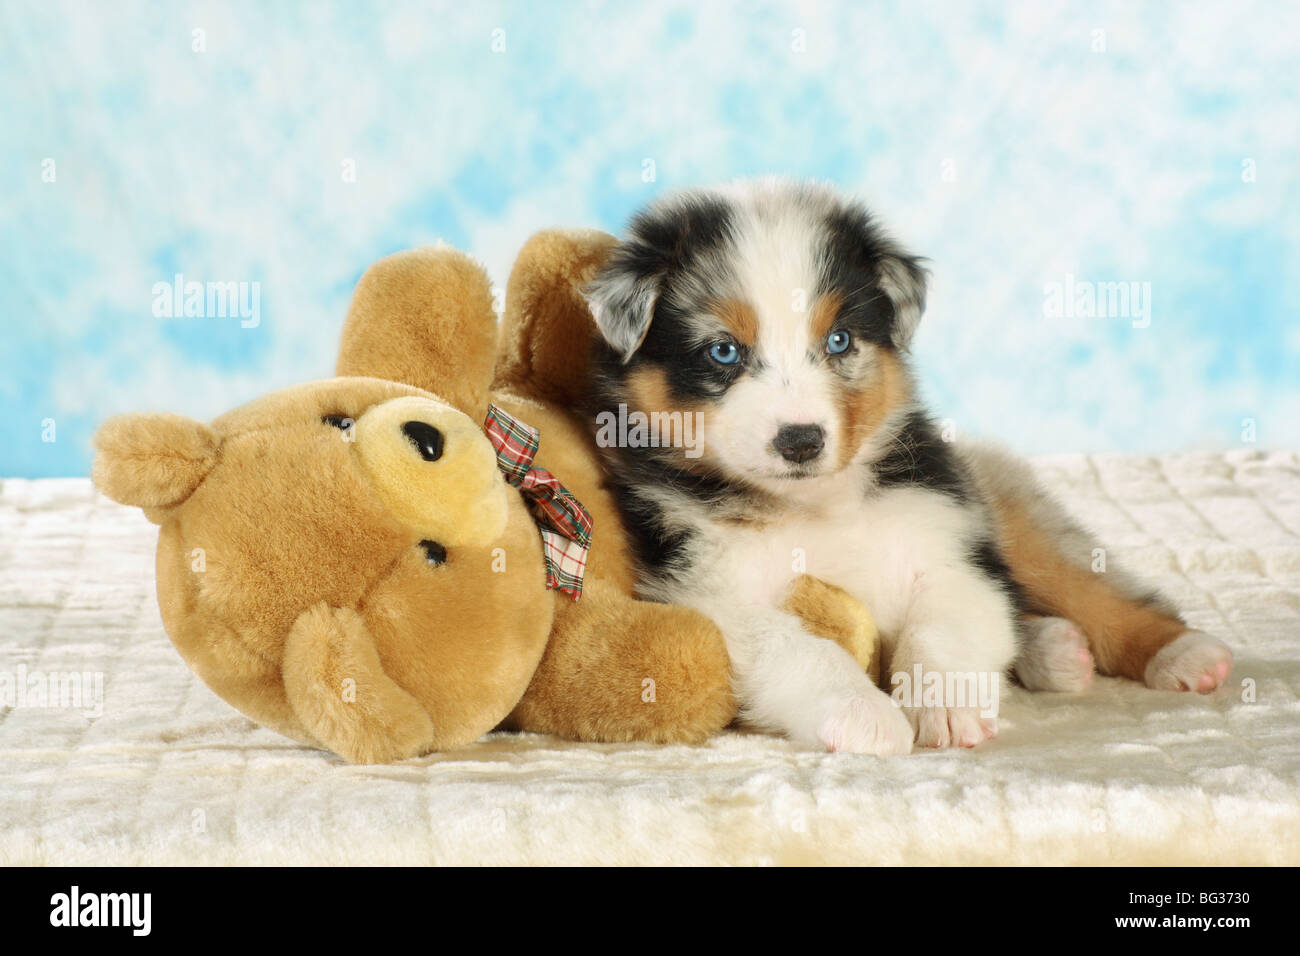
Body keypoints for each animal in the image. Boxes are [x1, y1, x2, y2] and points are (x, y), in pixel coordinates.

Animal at [585, 179, 1232, 754]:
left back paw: (1184, 654)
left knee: (1095, 592)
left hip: (1016, 517)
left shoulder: (945, 543)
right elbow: (796, 647)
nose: (801, 441)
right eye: (723, 351)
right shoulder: (706, 594)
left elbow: (940, 627)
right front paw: (863, 714)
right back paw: (1056, 651)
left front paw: (945, 706)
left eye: (840, 340)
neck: (816, 505)